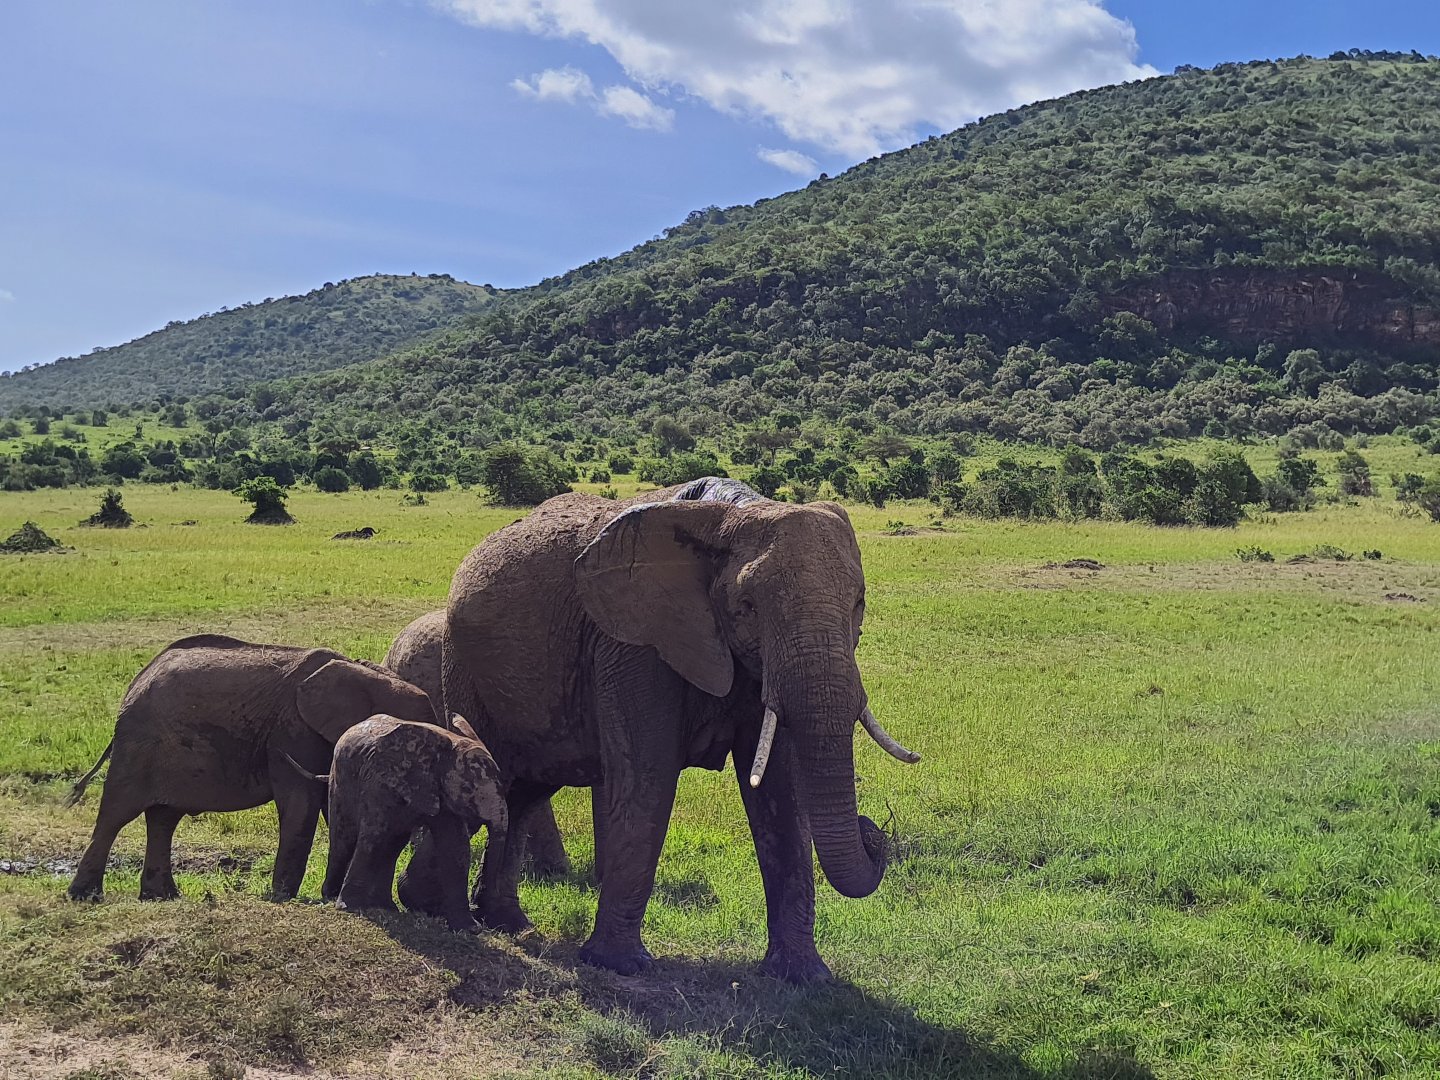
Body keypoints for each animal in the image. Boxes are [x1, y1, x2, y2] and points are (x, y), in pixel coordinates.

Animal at [67, 634, 439, 902]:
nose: (329, 895)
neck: (366, 673)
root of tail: (137, 679)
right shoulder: (292, 731)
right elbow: (301, 803)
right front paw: (282, 898)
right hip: (139, 741)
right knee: (117, 813)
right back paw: (85, 897)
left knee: (163, 818)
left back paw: (162, 897)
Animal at [284, 714, 508, 932]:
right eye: (468, 789)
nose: (478, 909)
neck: (444, 747)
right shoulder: (381, 781)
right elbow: (373, 837)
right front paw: (348, 908)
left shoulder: (439, 791)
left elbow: (456, 848)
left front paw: (470, 929)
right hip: (340, 781)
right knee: (345, 839)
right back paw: (331, 896)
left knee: (391, 846)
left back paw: (386, 906)